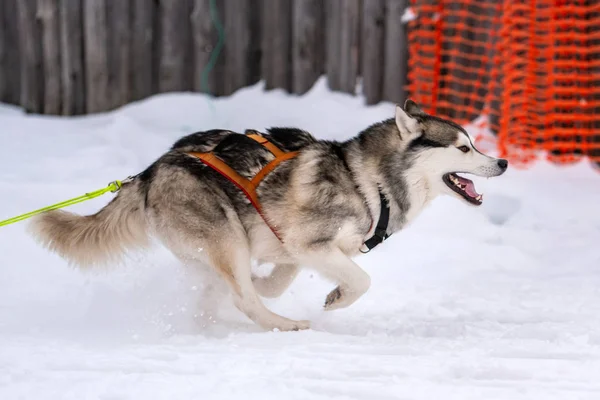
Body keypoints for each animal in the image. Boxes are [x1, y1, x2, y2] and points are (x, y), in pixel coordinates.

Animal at [29, 99, 506, 332]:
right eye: (464, 148)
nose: (501, 162)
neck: (369, 182)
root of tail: (149, 172)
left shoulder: (293, 247)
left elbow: (278, 280)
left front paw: (267, 282)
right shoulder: (309, 243)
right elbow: (361, 279)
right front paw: (337, 297)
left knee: (220, 290)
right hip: (226, 235)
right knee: (241, 295)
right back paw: (283, 325)